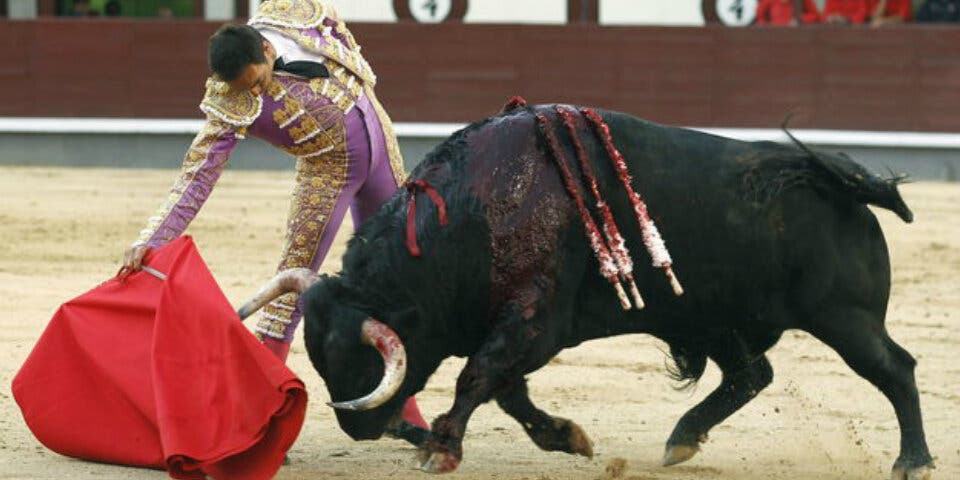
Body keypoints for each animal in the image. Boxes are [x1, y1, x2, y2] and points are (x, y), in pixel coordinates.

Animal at [270, 104, 928, 476]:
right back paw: (681, 440)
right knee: (751, 375)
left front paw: (440, 448)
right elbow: (507, 391)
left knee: (895, 368)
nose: (359, 429)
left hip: (845, 318)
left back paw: (913, 461)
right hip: (714, 318)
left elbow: (478, 378)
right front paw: (566, 438)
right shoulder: (520, 329)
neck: (474, 210)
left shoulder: (535, 320)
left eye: (358, 358)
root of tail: (841, 186)